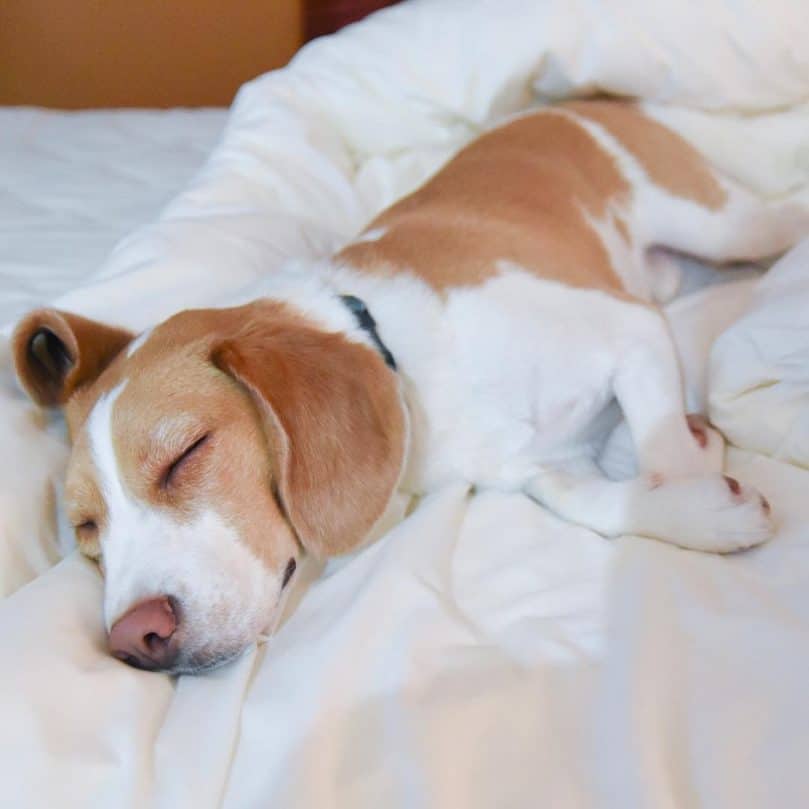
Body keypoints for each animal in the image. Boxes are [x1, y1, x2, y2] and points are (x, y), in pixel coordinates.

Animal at [14, 99, 808, 668]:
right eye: (87, 531)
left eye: (188, 453)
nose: (132, 639)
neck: (397, 356)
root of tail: (570, 103)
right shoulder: (537, 466)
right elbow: (593, 502)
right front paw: (692, 504)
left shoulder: (629, 330)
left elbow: (659, 444)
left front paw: (692, 482)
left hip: (718, 223)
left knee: (779, 219)